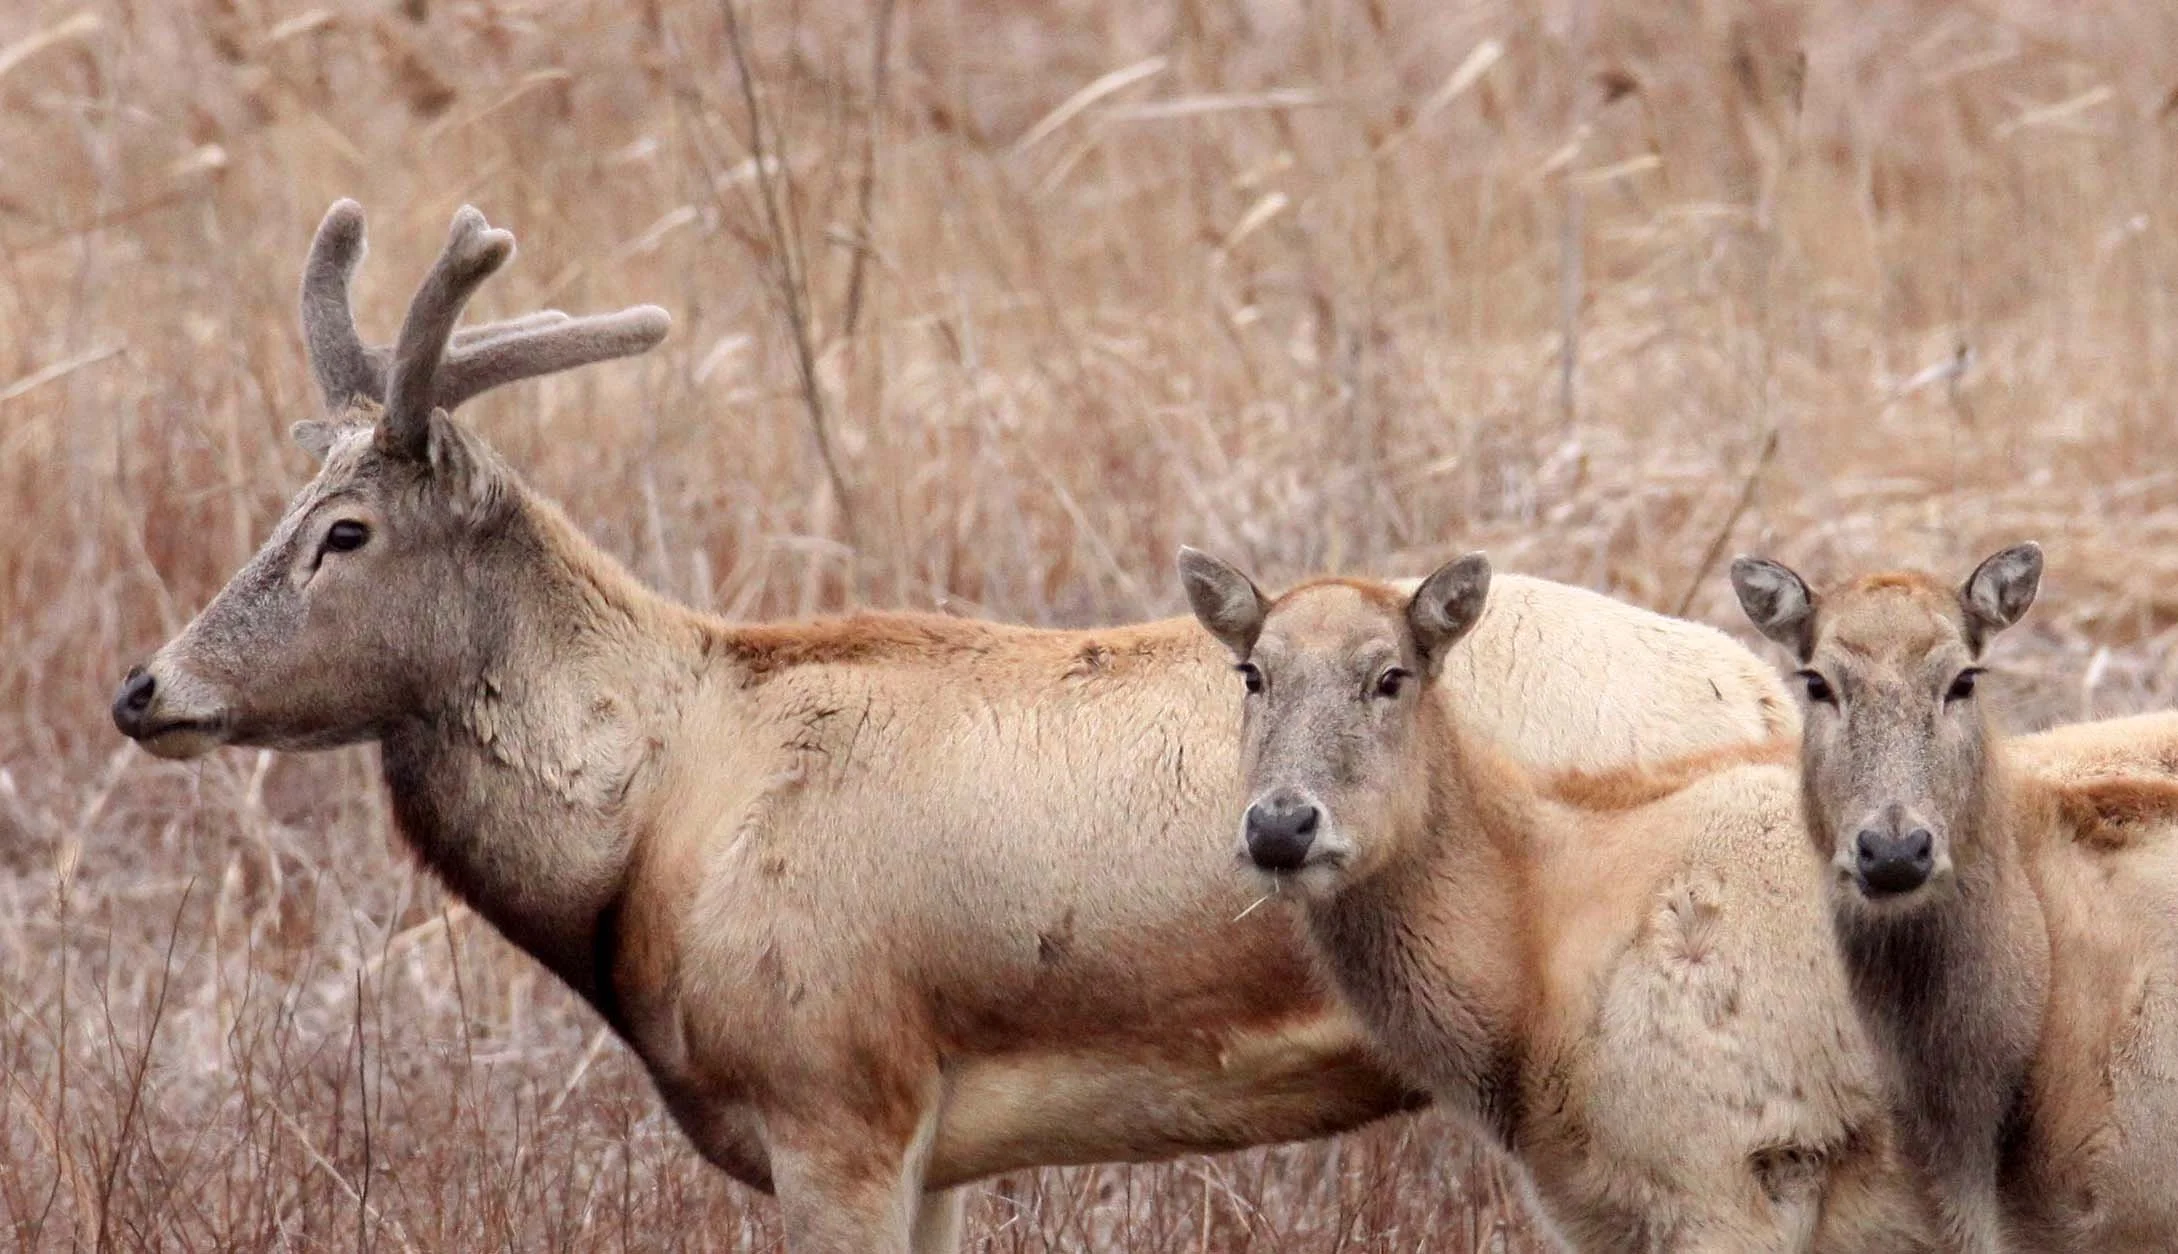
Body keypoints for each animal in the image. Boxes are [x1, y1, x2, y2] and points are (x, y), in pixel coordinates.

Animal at [111, 199, 1808, 1254]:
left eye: (342, 532)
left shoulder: (834, 1088)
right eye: (285, 503)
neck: (663, 816)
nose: (146, 690)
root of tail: (1762, 693)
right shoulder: (928, 1135)